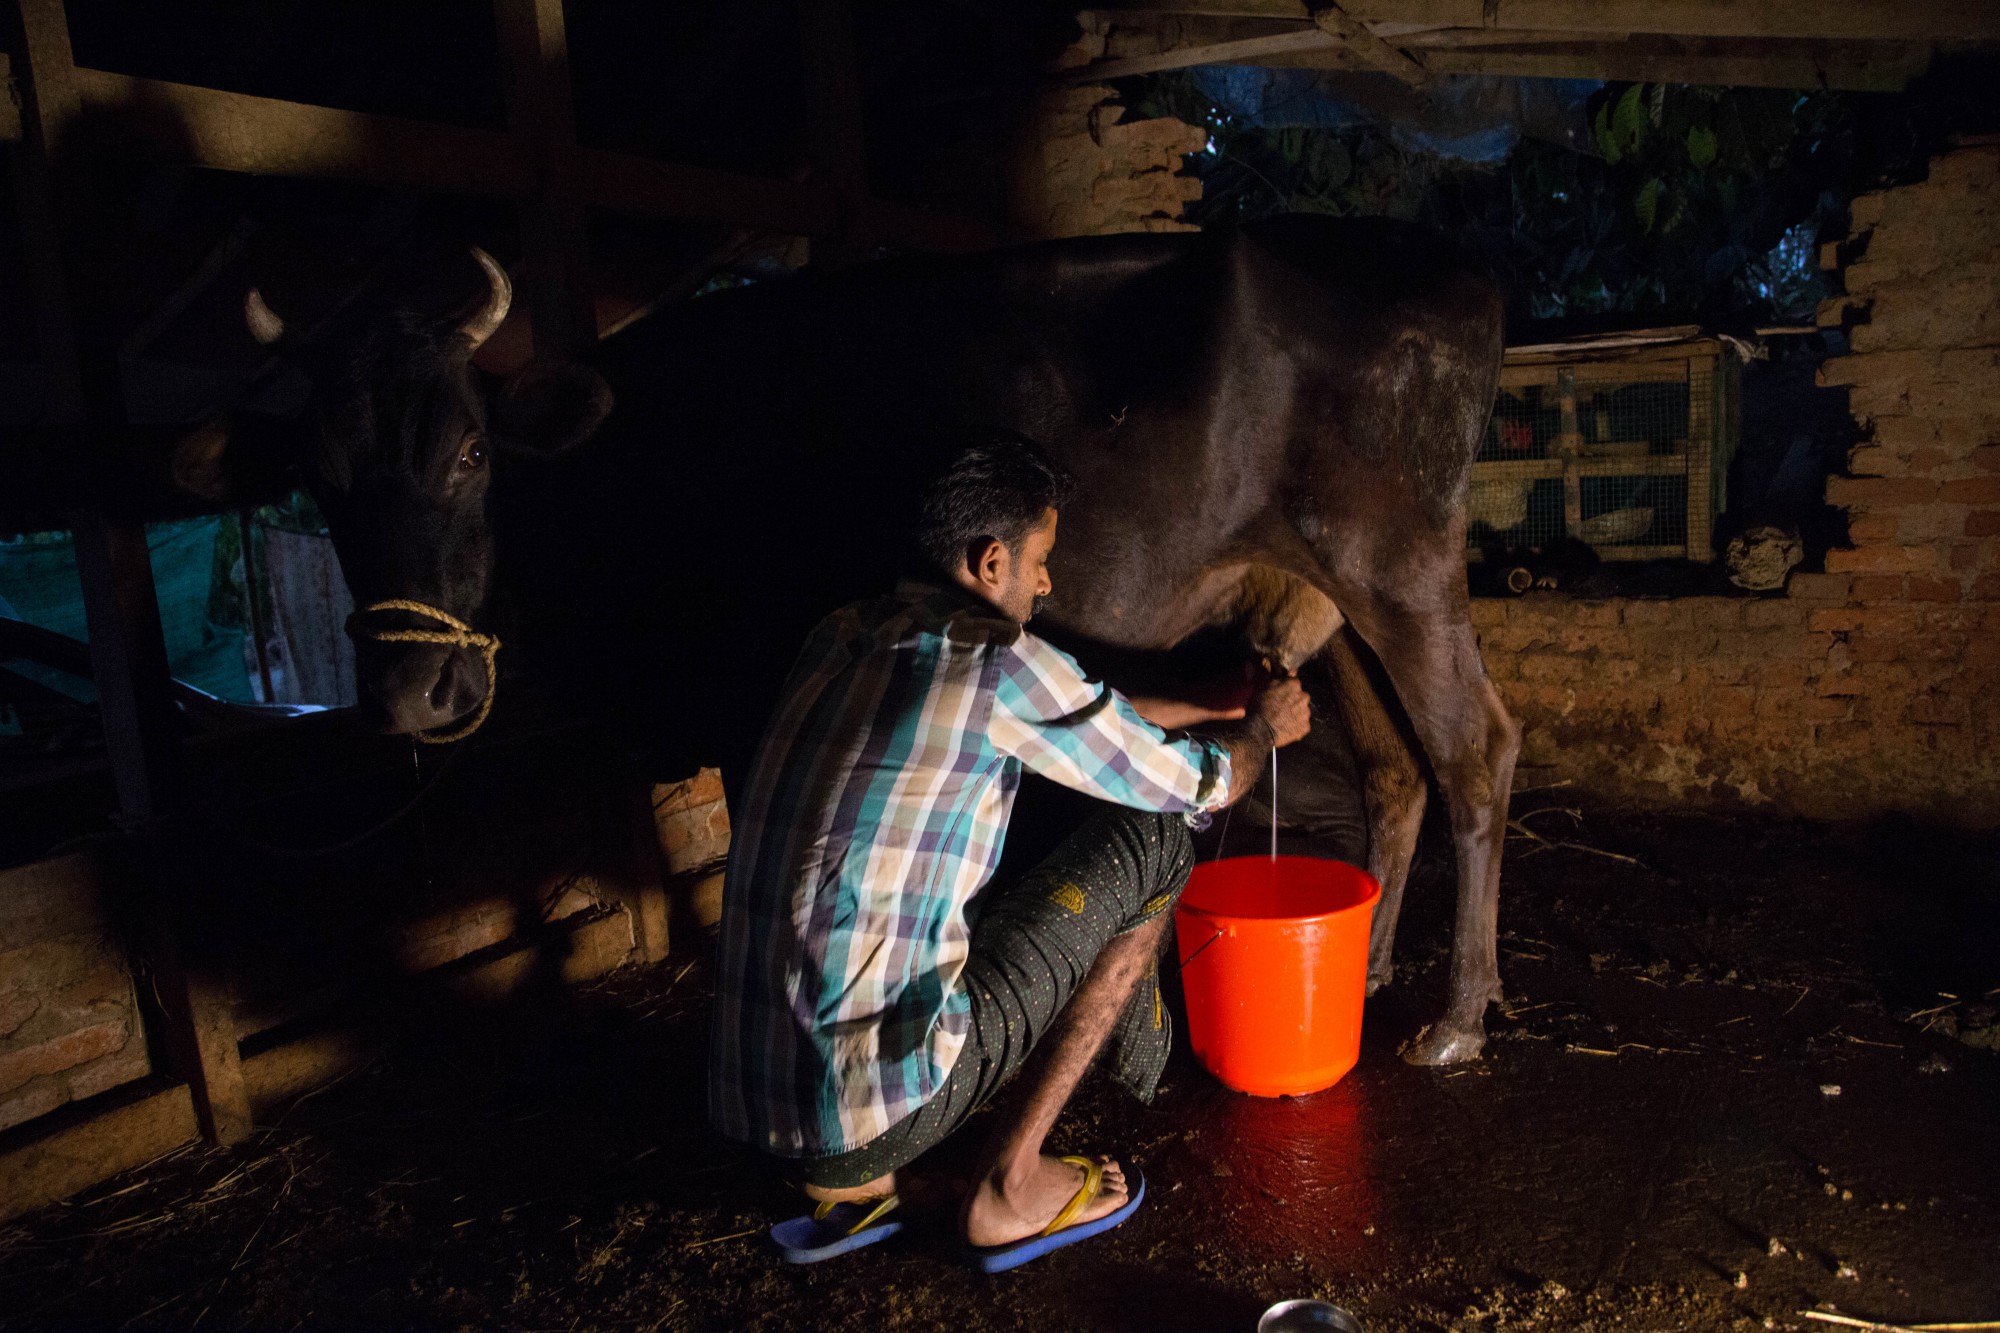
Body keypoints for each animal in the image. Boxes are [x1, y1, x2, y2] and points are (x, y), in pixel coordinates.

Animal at [184, 215, 1512, 1056]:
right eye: (315, 480)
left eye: (469, 452)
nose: (412, 692)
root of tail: (1446, 264)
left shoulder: (748, 690)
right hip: (1322, 592)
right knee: (1394, 771)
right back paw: (1377, 964)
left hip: (1396, 565)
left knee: (1473, 753)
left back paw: (1457, 1019)